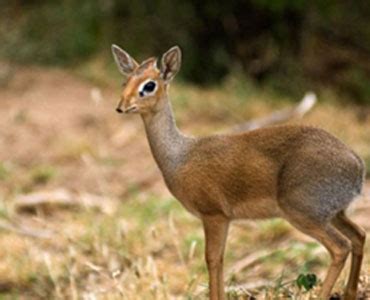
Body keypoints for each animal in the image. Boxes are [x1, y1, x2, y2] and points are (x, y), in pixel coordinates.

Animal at [111, 44, 366, 300]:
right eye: (126, 81)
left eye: (149, 85)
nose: (121, 107)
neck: (179, 156)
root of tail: (357, 164)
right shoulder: (225, 219)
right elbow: (221, 260)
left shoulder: (213, 215)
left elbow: (212, 259)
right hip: (335, 213)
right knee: (359, 235)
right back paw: (350, 293)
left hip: (304, 213)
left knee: (340, 247)